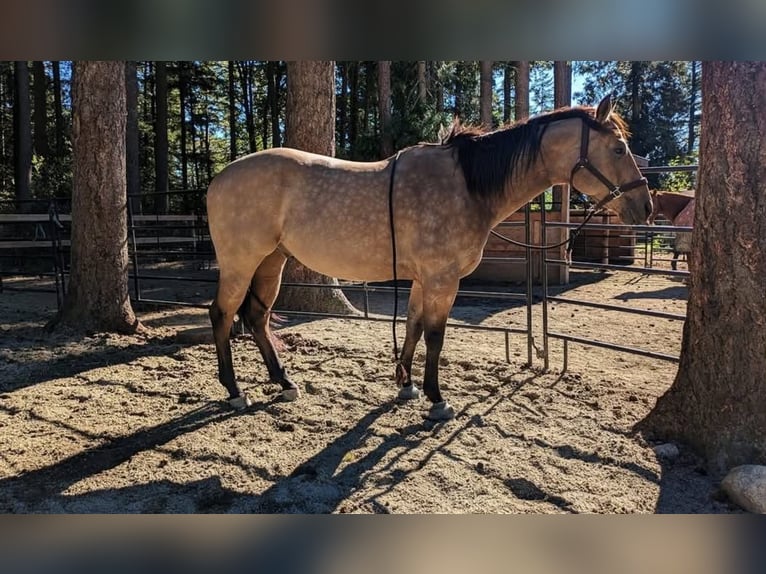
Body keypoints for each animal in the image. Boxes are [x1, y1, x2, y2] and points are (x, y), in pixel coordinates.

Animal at [206, 95, 652, 420]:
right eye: (618, 148)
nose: (645, 207)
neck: (467, 185)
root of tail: (218, 179)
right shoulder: (443, 279)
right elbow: (436, 336)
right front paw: (437, 399)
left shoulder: (424, 279)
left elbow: (414, 327)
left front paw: (406, 383)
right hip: (241, 263)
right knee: (222, 314)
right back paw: (234, 391)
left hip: (271, 262)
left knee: (257, 317)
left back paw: (284, 383)